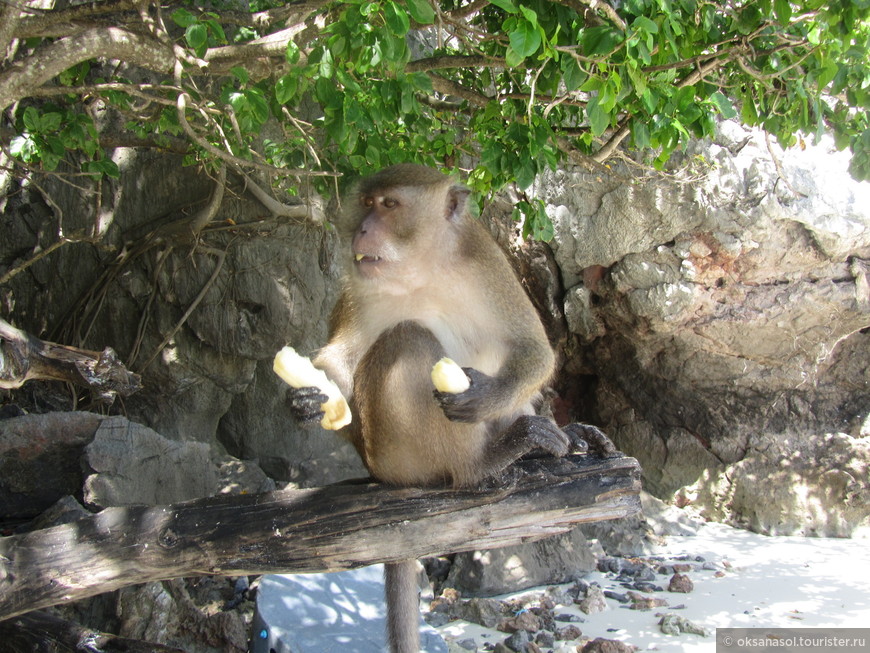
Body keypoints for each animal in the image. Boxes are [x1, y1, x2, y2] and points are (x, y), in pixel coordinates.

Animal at [290, 164, 588, 652]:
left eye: (390, 205)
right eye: (367, 203)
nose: (363, 229)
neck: (421, 270)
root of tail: (378, 474)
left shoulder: (486, 264)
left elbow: (534, 350)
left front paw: (487, 396)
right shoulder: (358, 285)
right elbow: (343, 359)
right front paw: (305, 400)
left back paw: (546, 442)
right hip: (397, 458)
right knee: (408, 338)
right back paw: (485, 464)